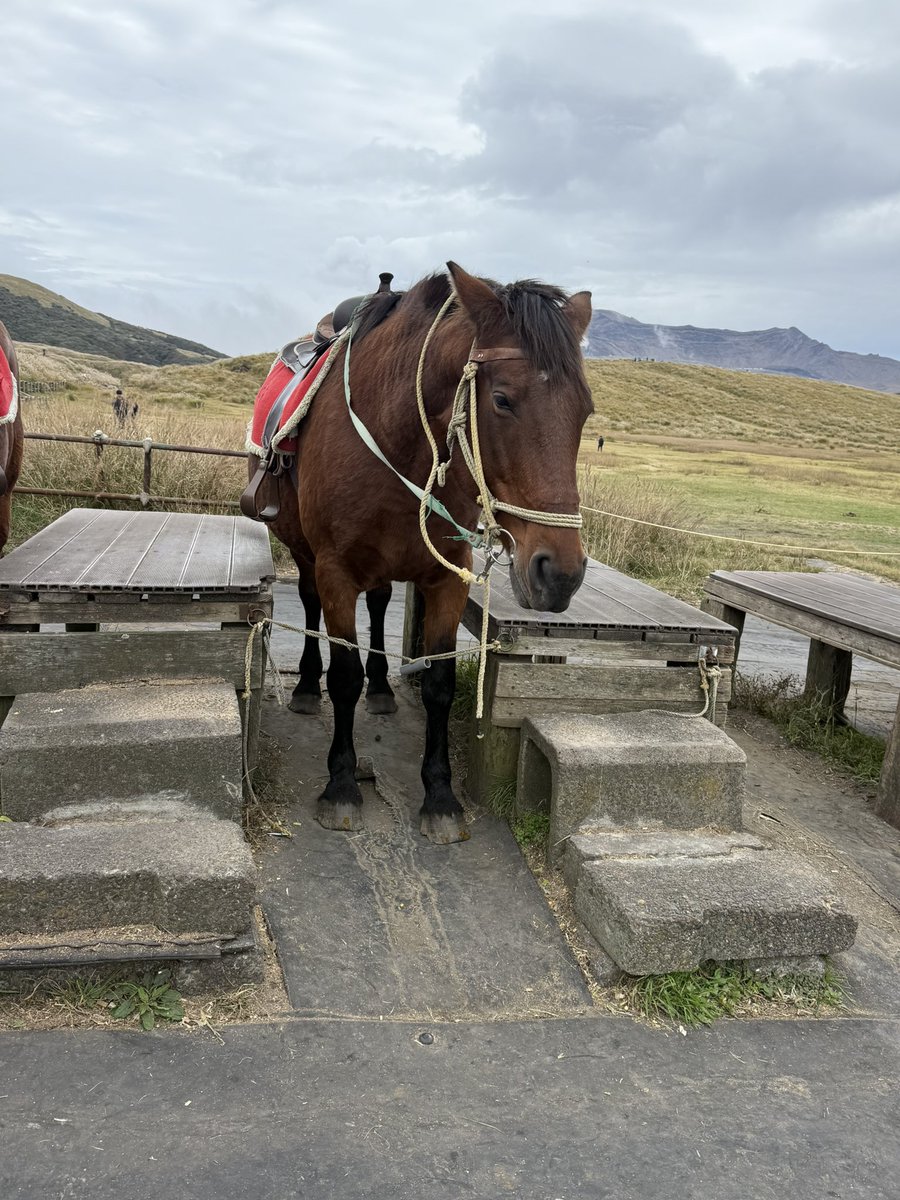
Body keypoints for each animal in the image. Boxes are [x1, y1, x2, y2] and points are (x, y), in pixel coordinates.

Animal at [251, 262, 593, 844]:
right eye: (502, 400)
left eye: (585, 413)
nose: (561, 573)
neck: (396, 437)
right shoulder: (336, 570)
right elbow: (343, 677)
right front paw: (341, 785)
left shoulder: (448, 576)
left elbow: (437, 683)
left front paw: (440, 795)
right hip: (302, 549)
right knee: (310, 605)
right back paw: (306, 686)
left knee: (380, 604)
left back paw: (383, 688)